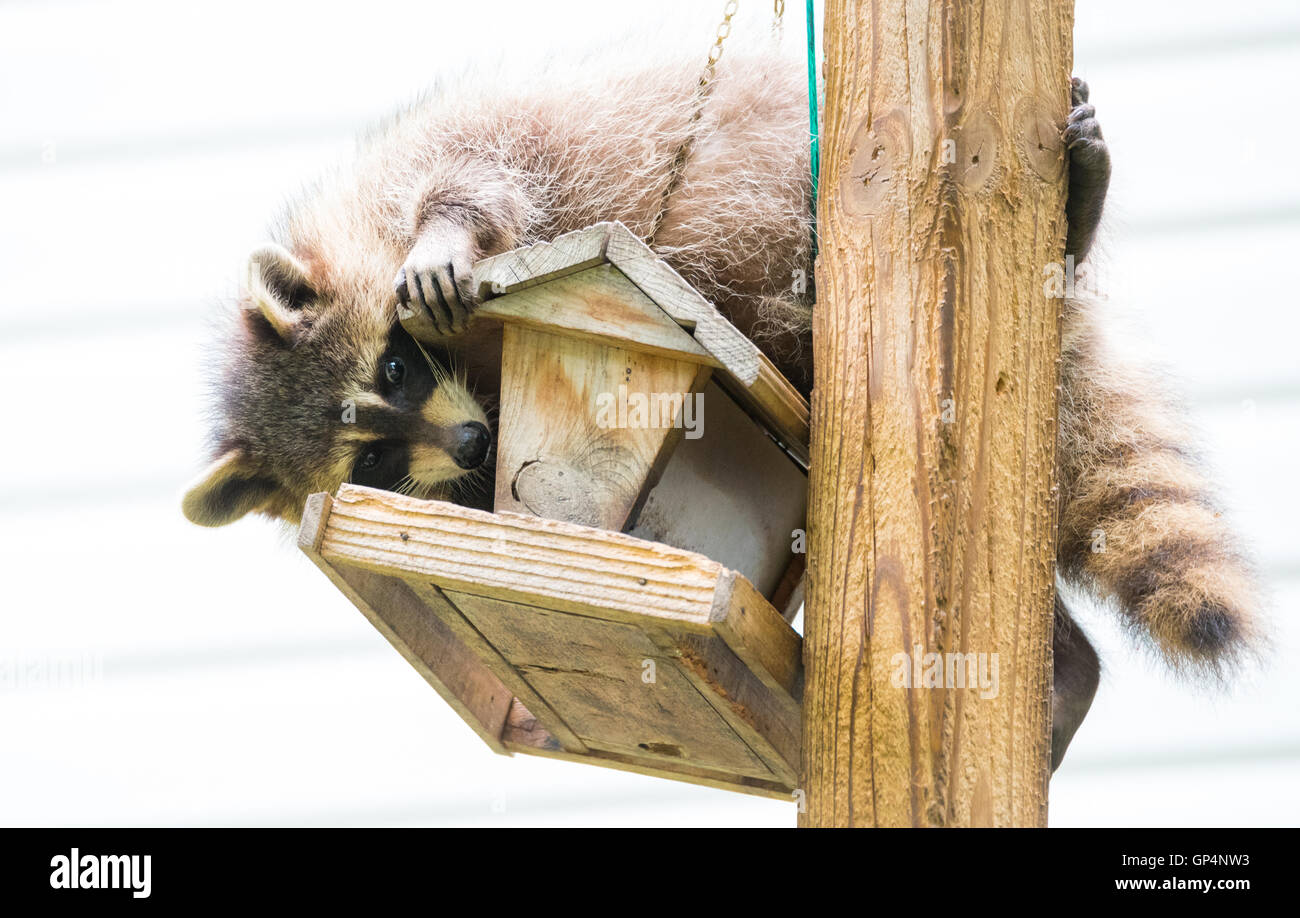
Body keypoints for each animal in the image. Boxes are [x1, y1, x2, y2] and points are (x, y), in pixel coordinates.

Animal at [180, 50, 1258, 764]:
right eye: (370, 463)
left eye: (396, 370)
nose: (477, 439)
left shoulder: (452, 153)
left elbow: (479, 175)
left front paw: (443, 234)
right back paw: (1069, 668)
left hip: (807, 164)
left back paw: (1075, 216)